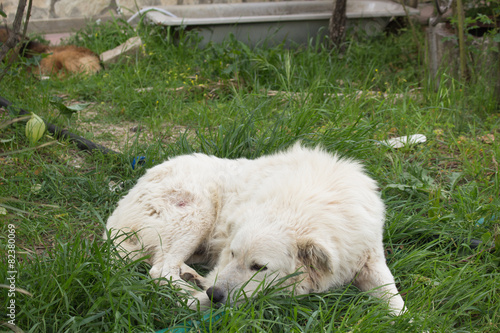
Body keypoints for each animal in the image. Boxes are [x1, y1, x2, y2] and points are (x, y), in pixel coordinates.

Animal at [104, 143, 406, 314]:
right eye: (234, 255)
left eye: (259, 267)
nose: (215, 295)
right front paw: (203, 296)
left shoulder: (368, 257)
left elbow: (396, 302)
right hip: (196, 214)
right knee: (160, 269)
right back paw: (195, 293)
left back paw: (194, 278)